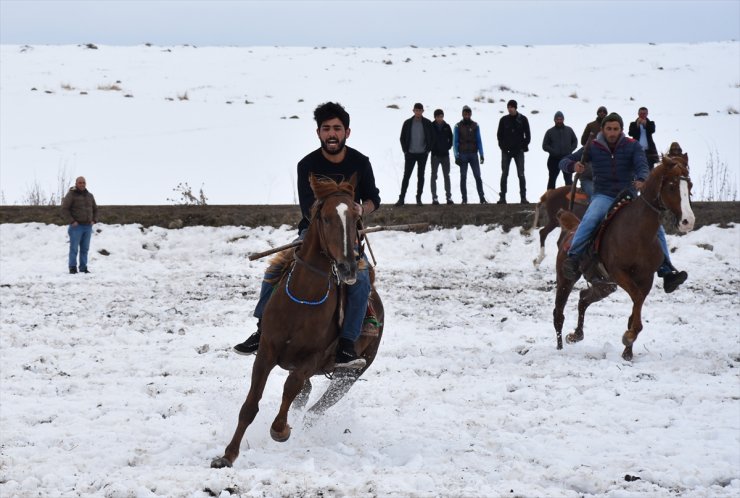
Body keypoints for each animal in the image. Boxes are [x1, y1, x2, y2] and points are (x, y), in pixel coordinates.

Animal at [211, 174, 384, 466]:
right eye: (325, 218)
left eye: (355, 217)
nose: (348, 267)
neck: (304, 298)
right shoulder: (266, 351)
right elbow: (250, 404)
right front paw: (227, 456)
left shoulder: (311, 359)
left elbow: (290, 387)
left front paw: (280, 430)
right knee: (306, 395)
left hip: (350, 376)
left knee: (315, 408)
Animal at [556, 154, 692, 360]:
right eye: (671, 186)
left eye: (689, 186)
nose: (688, 221)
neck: (637, 232)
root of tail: (572, 228)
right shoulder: (619, 273)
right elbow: (636, 298)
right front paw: (629, 337)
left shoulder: (646, 278)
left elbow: (637, 304)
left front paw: (628, 350)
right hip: (565, 279)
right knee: (559, 312)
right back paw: (559, 347)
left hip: (604, 285)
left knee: (583, 298)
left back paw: (576, 335)